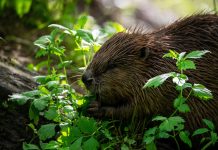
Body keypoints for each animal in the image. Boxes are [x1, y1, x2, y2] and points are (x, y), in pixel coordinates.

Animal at [81, 13, 218, 132]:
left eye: (112, 65)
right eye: (96, 54)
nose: (85, 78)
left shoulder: (157, 90)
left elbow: (134, 109)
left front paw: (95, 108)